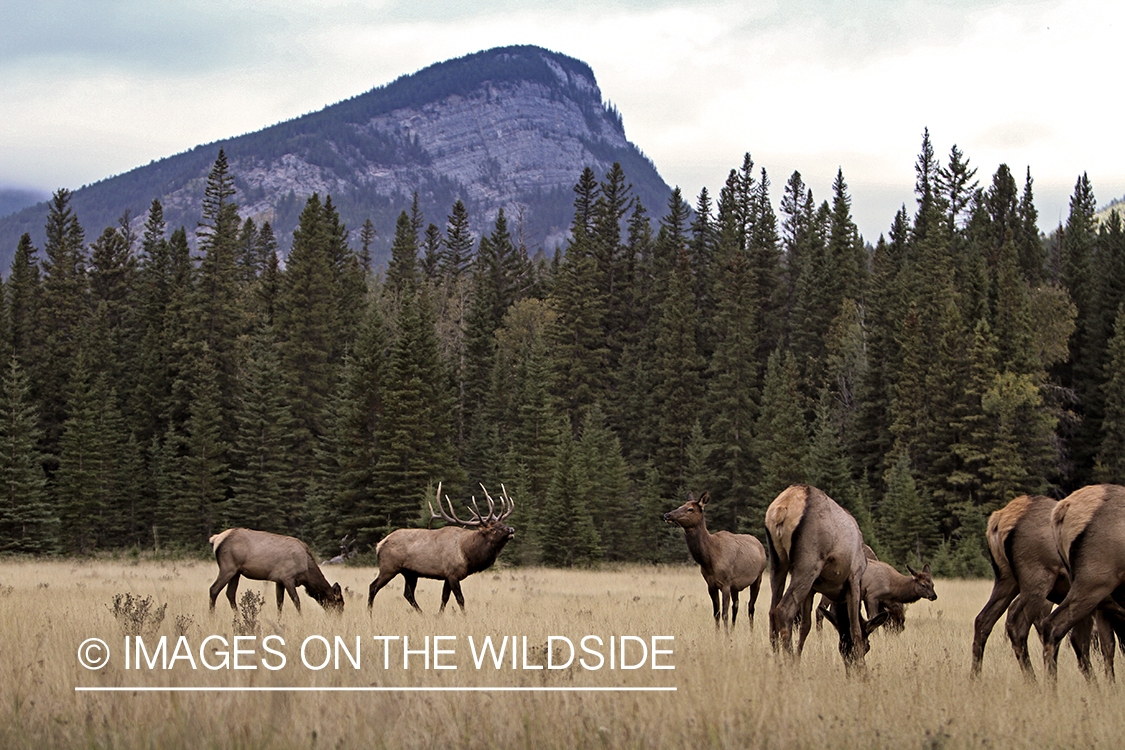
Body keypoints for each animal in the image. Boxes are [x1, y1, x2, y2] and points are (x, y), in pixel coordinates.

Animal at [204, 530, 339, 611]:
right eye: (339, 602)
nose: (338, 617)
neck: (306, 573)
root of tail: (215, 539)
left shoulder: (279, 580)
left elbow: (279, 603)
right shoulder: (287, 578)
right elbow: (297, 601)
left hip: (236, 572)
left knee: (230, 593)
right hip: (228, 568)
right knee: (213, 589)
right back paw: (212, 617)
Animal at [369, 483, 515, 611]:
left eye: (502, 524)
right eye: (492, 529)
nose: (511, 529)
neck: (467, 554)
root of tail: (379, 544)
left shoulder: (447, 575)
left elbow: (444, 598)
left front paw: (439, 616)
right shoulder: (452, 574)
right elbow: (460, 599)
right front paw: (464, 616)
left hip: (410, 572)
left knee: (408, 594)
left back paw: (422, 614)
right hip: (389, 567)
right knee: (373, 587)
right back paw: (369, 614)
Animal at [661, 490, 769, 629]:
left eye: (690, 509)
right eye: (681, 505)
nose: (667, 515)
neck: (709, 558)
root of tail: (760, 545)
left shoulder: (726, 583)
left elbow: (724, 614)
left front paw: (726, 634)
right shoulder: (711, 584)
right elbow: (716, 613)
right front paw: (719, 633)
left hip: (758, 577)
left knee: (751, 606)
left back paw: (751, 631)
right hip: (736, 586)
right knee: (736, 606)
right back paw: (733, 629)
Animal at [765, 483, 886, 670]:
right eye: (868, 647)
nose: (850, 667)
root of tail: (781, 509)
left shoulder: (812, 589)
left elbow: (805, 627)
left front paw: (799, 659)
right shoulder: (854, 577)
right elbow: (856, 628)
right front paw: (864, 670)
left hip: (777, 562)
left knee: (772, 611)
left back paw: (778, 662)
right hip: (808, 563)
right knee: (783, 610)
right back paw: (789, 664)